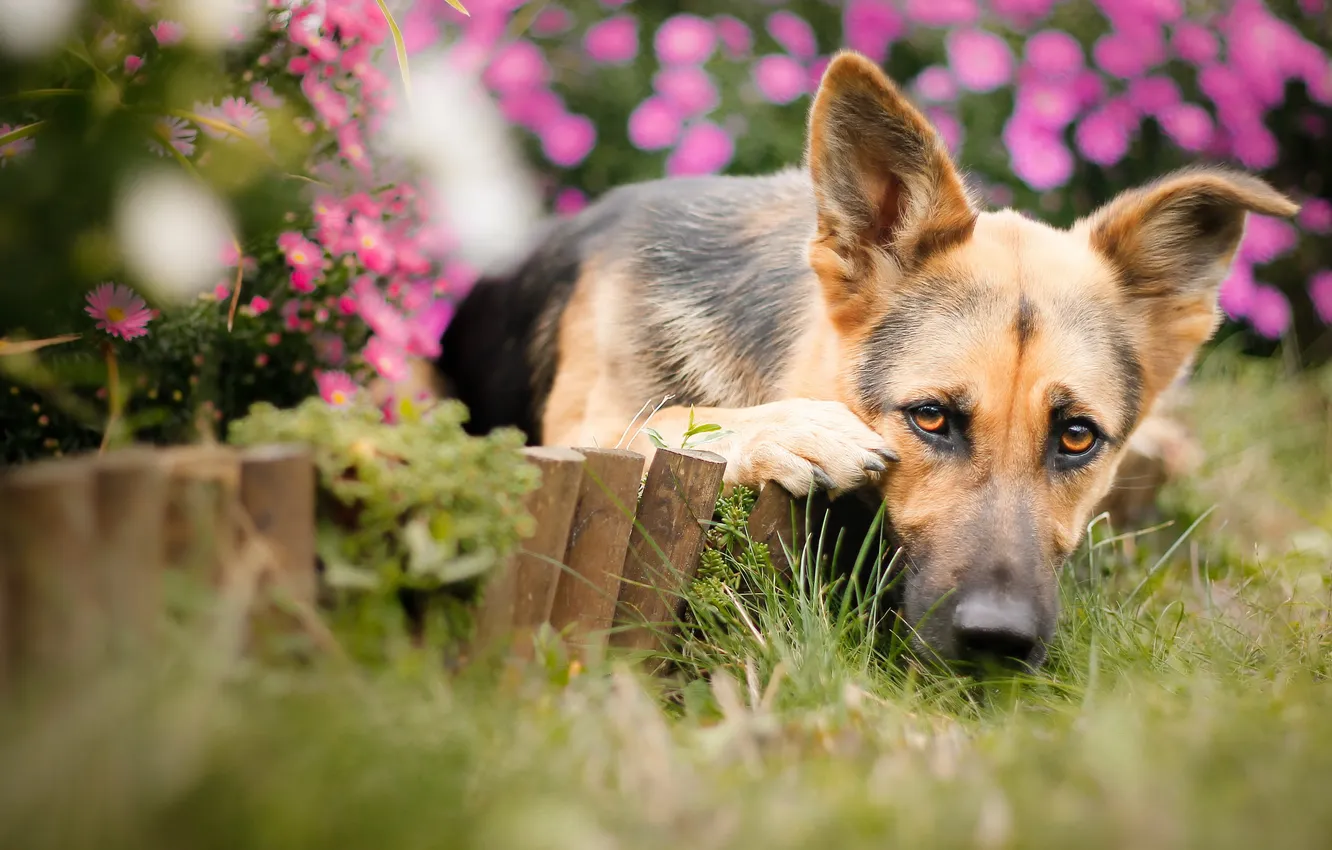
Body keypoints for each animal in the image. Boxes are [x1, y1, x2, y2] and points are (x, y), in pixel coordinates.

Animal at [439, 49, 1300, 671]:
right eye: (931, 418)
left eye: (1078, 436)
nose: (999, 644)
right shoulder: (582, 433)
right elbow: (670, 415)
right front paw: (790, 428)